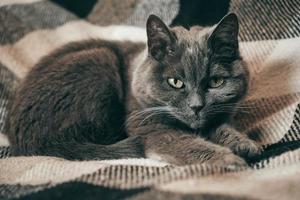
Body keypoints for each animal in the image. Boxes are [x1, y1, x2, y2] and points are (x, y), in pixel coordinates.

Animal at [5, 13, 262, 165]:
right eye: (175, 82)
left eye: (215, 82)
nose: (196, 106)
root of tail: (28, 145)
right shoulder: (147, 125)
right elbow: (186, 143)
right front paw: (229, 160)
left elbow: (221, 126)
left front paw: (244, 144)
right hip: (99, 57)